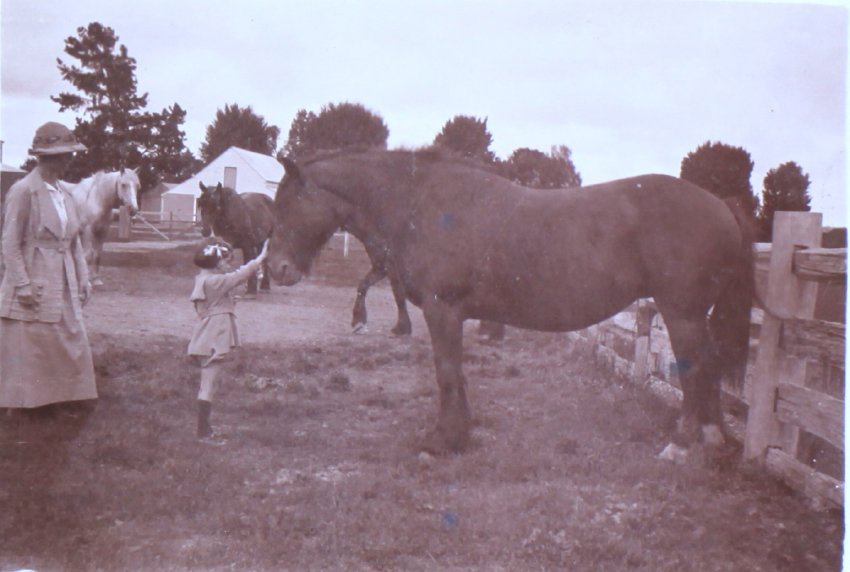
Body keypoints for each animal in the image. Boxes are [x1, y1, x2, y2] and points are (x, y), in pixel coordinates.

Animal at [267, 148, 754, 456]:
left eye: (287, 203)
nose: (275, 269)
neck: (425, 204)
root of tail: (720, 204)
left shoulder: (443, 309)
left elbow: (446, 372)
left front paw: (442, 441)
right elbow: (456, 373)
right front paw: (460, 435)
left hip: (682, 313)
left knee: (696, 368)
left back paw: (683, 444)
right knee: (709, 367)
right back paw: (715, 439)